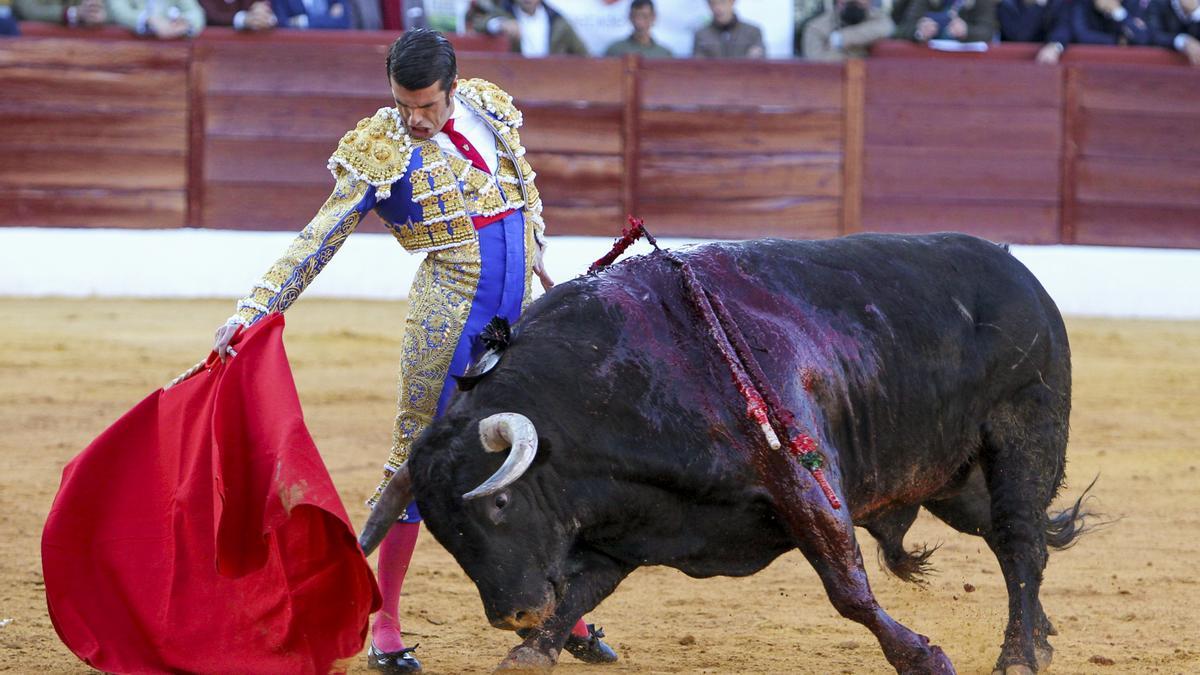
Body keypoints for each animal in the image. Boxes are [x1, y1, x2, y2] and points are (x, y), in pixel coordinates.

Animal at [360, 229, 1094, 667]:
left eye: (500, 504)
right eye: (444, 531)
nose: (512, 611)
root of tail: (1015, 266)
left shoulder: (803, 482)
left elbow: (848, 589)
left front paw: (924, 656)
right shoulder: (623, 534)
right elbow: (569, 605)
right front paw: (527, 650)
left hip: (1022, 440)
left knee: (1021, 540)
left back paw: (1018, 656)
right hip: (957, 481)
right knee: (1014, 542)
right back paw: (1040, 638)